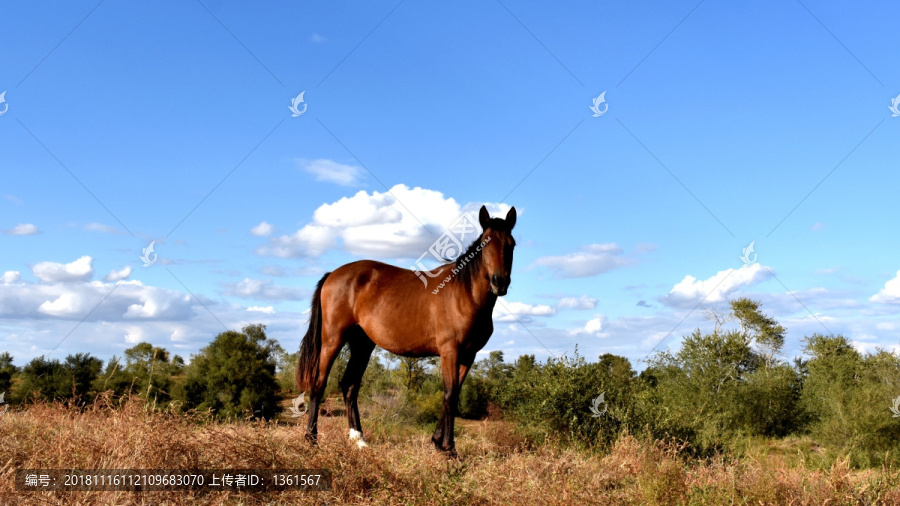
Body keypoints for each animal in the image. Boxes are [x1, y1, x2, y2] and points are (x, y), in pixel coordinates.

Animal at [298, 204, 516, 456]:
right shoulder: (450, 351)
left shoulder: (467, 356)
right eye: (485, 244)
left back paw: (359, 439)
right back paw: (311, 439)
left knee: (349, 385)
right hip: (333, 339)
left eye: (511, 244)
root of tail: (332, 274)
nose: (500, 282)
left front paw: (437, 442)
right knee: (319, 384)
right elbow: (450, 396)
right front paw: (449, 449)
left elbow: (453, 395)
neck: (465, 294)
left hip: (362, 344)